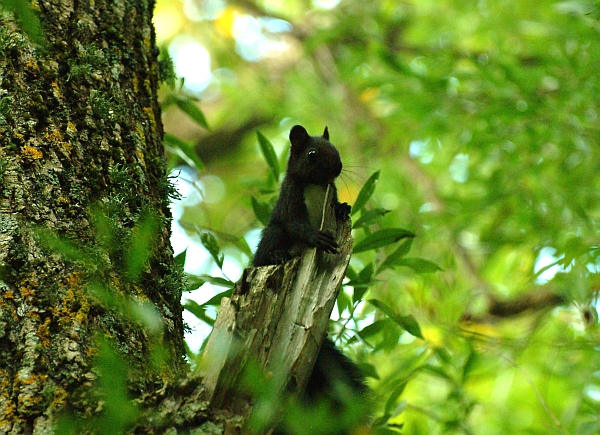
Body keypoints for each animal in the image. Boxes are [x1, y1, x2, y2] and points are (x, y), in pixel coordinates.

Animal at [252, 126, 366, 435]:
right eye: (312, 153)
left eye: (335, 148)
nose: (338, 167)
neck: (316, 186)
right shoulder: (290, 201)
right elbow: (296, 225)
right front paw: (317, 238)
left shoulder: (331, 193)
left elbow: (338, 205)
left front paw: (343, 209)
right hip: (272, 236)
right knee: (273, 243)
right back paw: (277, 256)